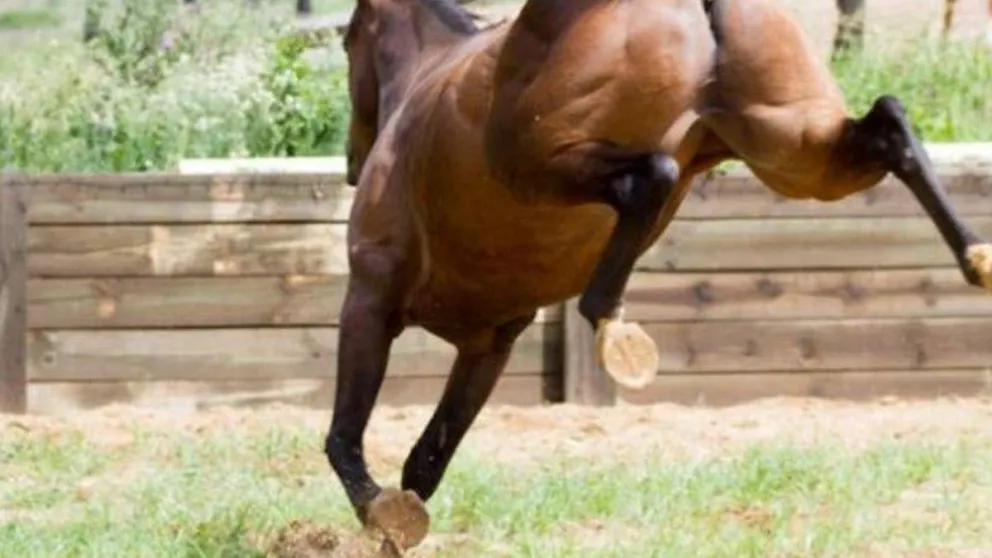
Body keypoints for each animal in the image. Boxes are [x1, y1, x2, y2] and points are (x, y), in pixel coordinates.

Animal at [331, 0, 992, 552]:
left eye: (345, 41)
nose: (351, 162)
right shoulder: (490, 342)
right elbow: (425, 464)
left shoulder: (372, 298)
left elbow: (346, 440)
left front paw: (379, 515)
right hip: (794, 148)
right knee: (889, 123)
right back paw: (975, 256)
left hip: (531, 155)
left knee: (651, 173)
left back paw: (611, 320)